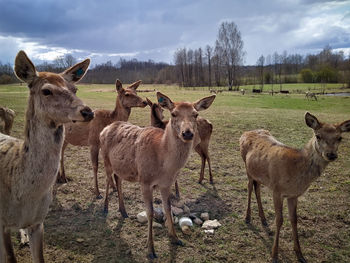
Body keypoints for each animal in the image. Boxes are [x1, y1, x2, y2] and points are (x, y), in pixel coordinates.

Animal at [0, 50, 93, 262]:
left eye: (74, 89)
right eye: (46, 91)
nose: (87, 111)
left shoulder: (39, 222)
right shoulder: (1, 224)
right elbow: (10, 257)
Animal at [100, 93, 216, 260]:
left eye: (195, 114)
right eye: (173, 113)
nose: (187, 133)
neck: (164, 165)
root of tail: (105, 128)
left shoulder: (166, 183)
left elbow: (168, 207)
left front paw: (175, 238)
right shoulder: (145, 181)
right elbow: (150, 213)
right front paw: (151, 250)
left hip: (121, 166)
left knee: (118, 179)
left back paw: (123, 211)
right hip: (105, 159)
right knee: (108, 179)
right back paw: (105, 208)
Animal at [239, 112, 350, 263]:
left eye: (340, 137)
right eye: (318, 136)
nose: (331, 154)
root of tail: (243, 134)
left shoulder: (293, 195)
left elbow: (294, 220)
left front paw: (300, 254)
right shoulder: (277, 190)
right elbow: (279, 220)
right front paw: (274, 255)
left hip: (259, 174)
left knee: (257, 189)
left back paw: (263, 219)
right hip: (247, 167)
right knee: (250, 187)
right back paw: (247, 217)